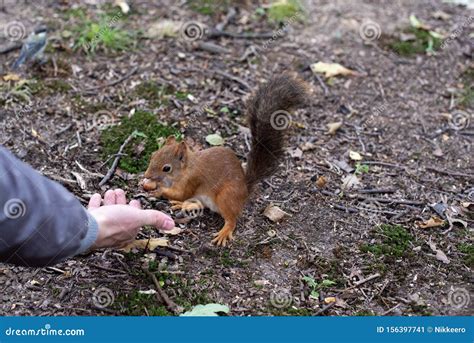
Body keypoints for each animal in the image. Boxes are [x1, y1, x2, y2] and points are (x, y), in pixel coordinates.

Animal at [143, 75, 310, 247]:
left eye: (166, 168)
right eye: (153, 155)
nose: (146, 175)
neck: (186, 169)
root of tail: (245, 192)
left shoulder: (193, 180)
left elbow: (182, 193)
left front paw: (158, 190)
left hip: (226, 197)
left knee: (231, 219)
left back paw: (224, 231)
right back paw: (185, 204)